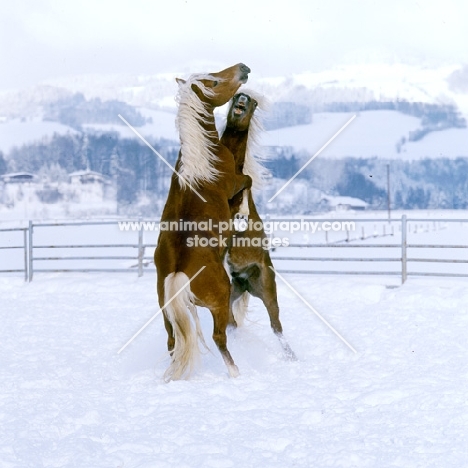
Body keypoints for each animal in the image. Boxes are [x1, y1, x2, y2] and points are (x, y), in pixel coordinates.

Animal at [154, 64, 254, 382]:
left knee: (172, 342)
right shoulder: (234, 183)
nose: (243, 68)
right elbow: (247, 181)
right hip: (220, 301)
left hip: (166, 313)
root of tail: (178, 276)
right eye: (214, 82)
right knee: (219, 337)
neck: (203, 162)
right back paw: (235, 372)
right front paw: (243, 214)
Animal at [219, 92, 296, 362]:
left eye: (252, 101)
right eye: (235, 97)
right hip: (233, 291)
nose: (241, 98)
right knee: (231, 322)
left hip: (267, 291)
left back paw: (291, 356)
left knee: (276, 326)